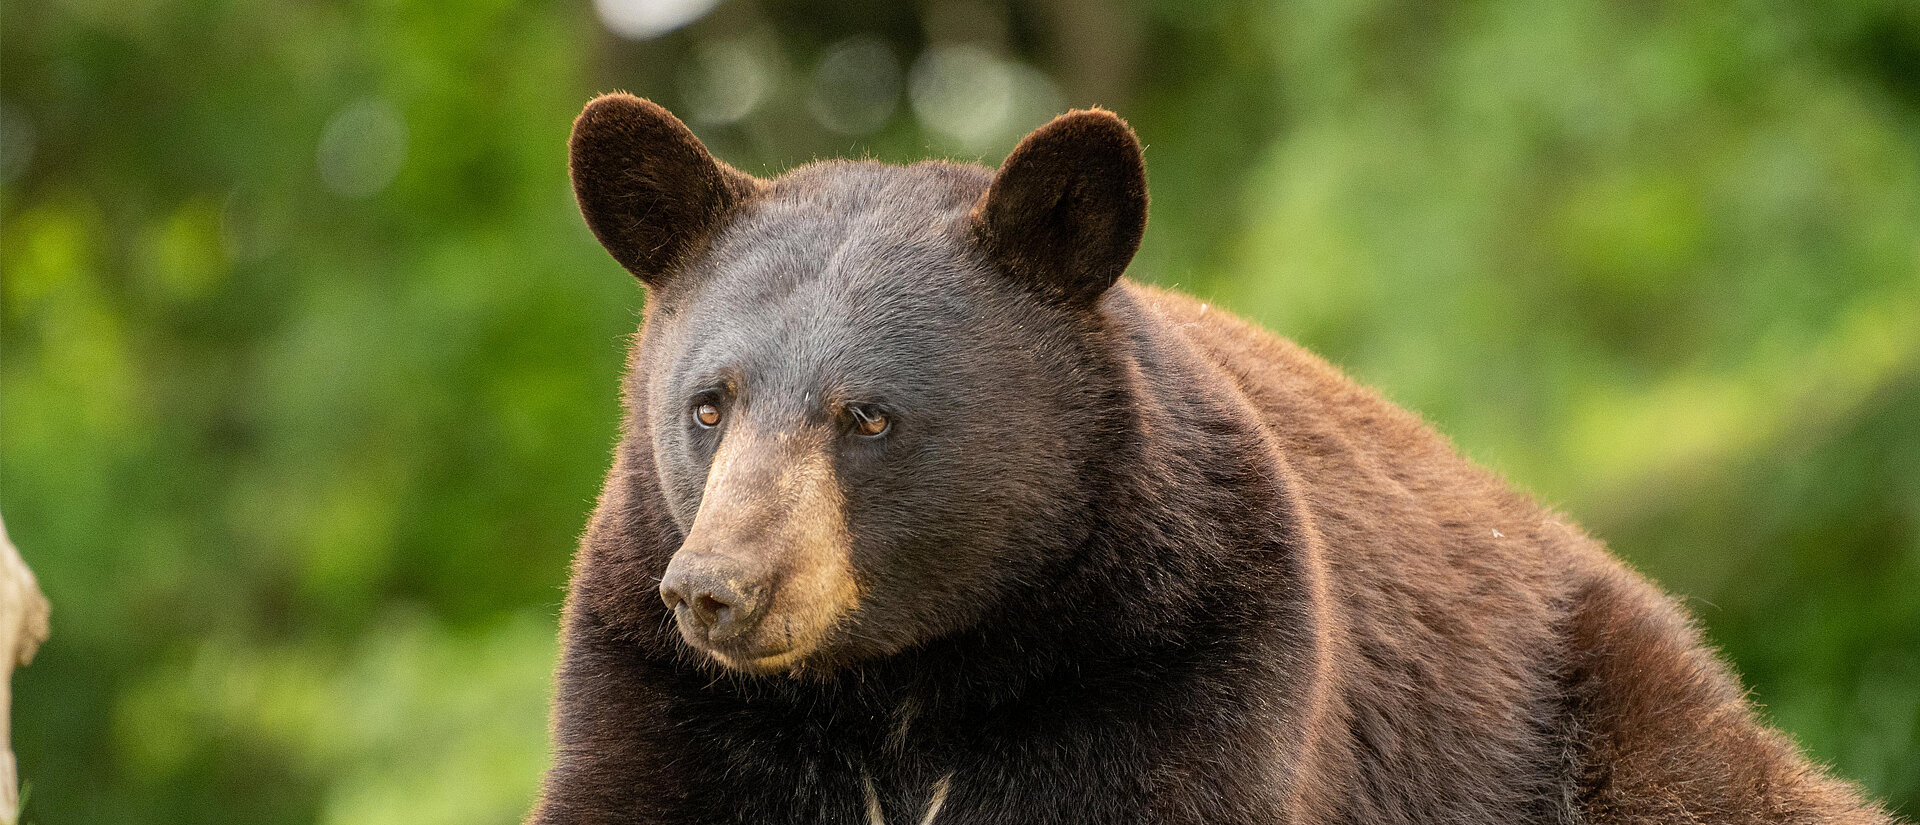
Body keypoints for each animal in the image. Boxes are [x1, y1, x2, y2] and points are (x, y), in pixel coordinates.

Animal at [533, 94, 1896, 825]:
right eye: (709, 404)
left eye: (867, 416)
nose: (720, 588)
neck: (906, 681)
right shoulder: (658, 681)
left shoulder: (1183, 649)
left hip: (1586, 727)